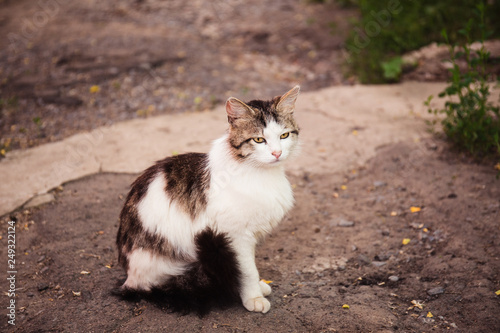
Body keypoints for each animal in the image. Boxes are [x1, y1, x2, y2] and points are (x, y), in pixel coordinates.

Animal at [117, 85, 300, 314]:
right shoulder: (234, 236)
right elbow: (247, 270)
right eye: (259, 140)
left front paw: (257, 288)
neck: (260, 173)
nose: (277, 153)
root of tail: (128, 277)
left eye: (284, 135)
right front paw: (253, 297)